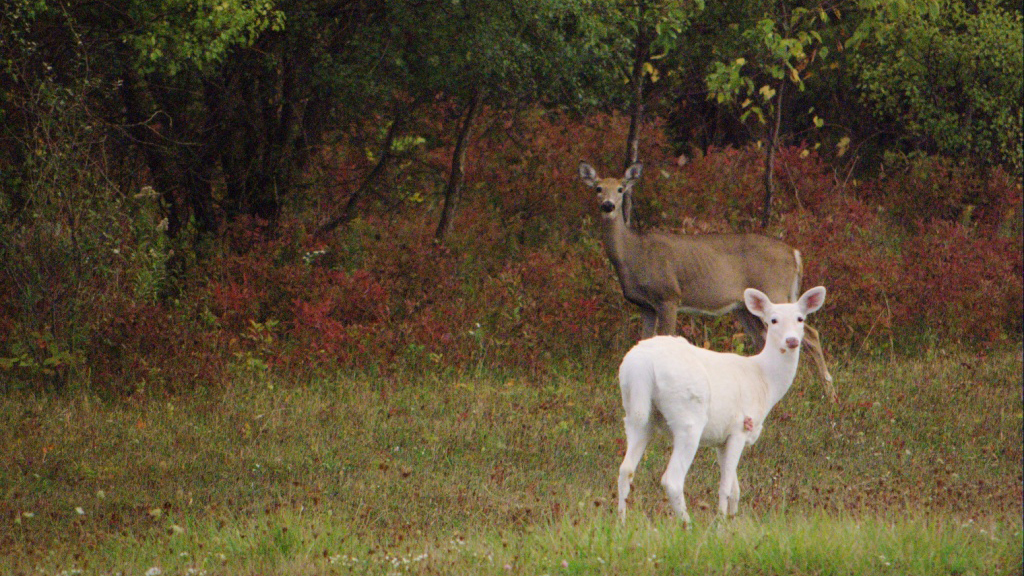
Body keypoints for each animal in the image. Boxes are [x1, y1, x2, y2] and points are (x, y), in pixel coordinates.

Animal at [581, 158, 835, 397]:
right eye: (598, 188)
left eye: (621, 189)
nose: (608, 205)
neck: (632, 255)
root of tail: (794, 253)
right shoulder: (646, 306)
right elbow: (644, 342)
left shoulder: (668, 296)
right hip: (745, 307)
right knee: (764, 340)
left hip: (774, 290)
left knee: (810, 334)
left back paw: (829, 394)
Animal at [610, 284, 827, 522]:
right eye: (773, 320)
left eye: (800, 318)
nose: (791, 340)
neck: (765, 380)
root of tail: (642, 364)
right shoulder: (740, 427)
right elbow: (725, 487)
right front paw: (721, 521)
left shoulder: (721, 439)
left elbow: (735, 488)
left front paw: (731, 519)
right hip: (688, 417)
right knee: (672, 479)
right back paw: (688, 524)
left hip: (636, 412)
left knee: (625, 469)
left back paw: (621, 521)